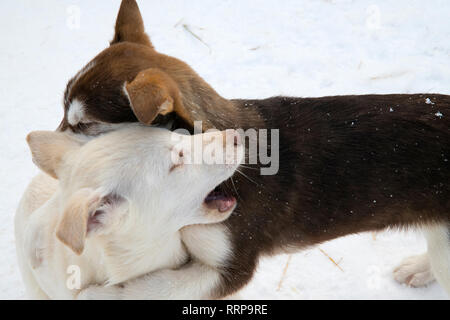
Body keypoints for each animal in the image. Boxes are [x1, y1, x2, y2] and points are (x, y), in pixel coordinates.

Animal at [51, 0, 448, 298]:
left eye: (83, 125)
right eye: (63, 110)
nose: (43, 140)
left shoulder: (232, 264)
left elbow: (151, 288)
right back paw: (419, 268)